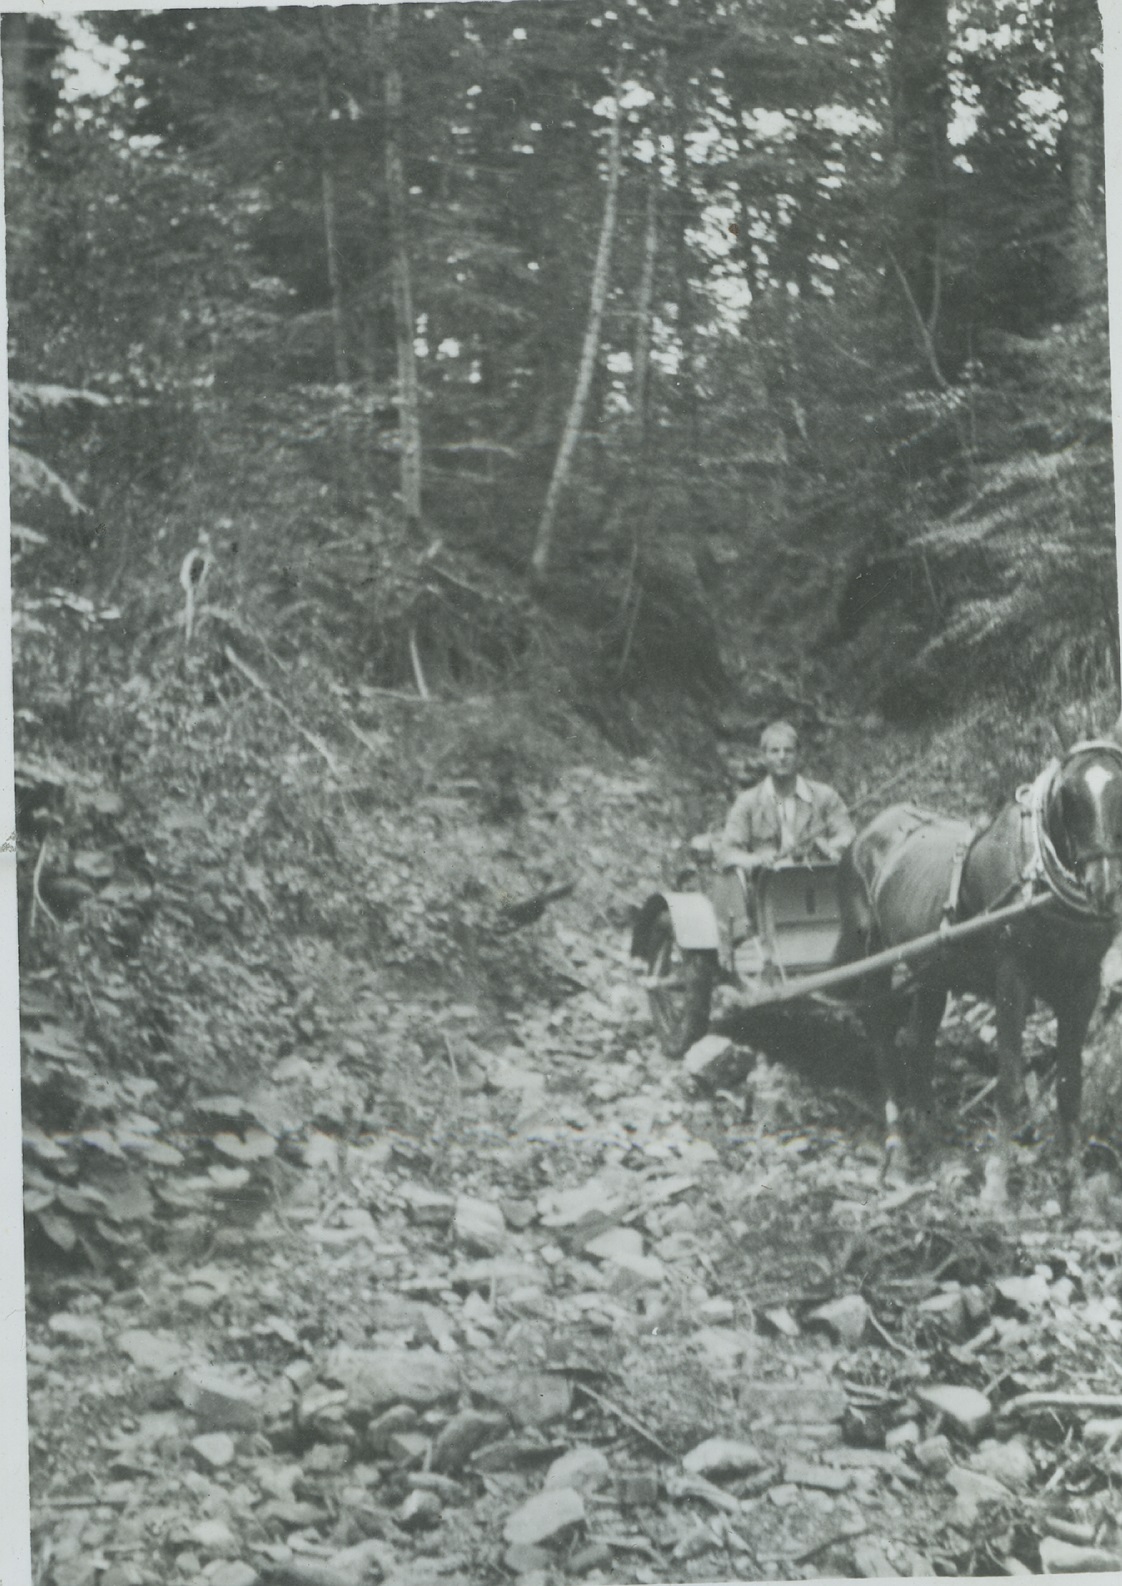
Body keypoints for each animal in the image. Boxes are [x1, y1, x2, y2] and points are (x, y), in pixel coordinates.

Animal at [837, 739, 1122, 1199]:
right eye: (1069, 796)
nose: (1106, 887)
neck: (1037, 878)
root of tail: (867, 832)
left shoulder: (1083, 986)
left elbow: (1070, 1086)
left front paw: (1075, 1186)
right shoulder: (1012, 980)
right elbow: (1008, 1084)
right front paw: (997, 1186)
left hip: (932, 973)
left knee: (918, 1047)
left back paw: (933, 1146)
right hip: (872, 957)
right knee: (882, 1039)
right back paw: (898, 1149)